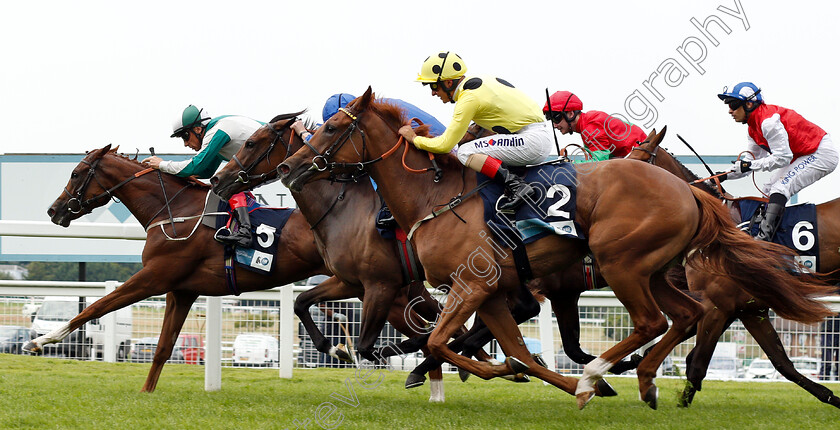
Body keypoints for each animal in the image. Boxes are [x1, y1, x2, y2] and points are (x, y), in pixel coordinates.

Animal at [35, 146, 434, 394]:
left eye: (76, 172)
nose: (54, 210)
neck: (176, 211)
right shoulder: (181, 290)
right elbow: (163, 348)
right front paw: (146, 392)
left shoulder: (153, 278)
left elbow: (95, 307)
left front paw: (41, 341)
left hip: (385, 292)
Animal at [628, 139, 840, 410]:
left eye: (636, 162)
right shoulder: (748, 310)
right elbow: (783, 364)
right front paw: (831, 397)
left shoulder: (717, 307)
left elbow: (696, 365)